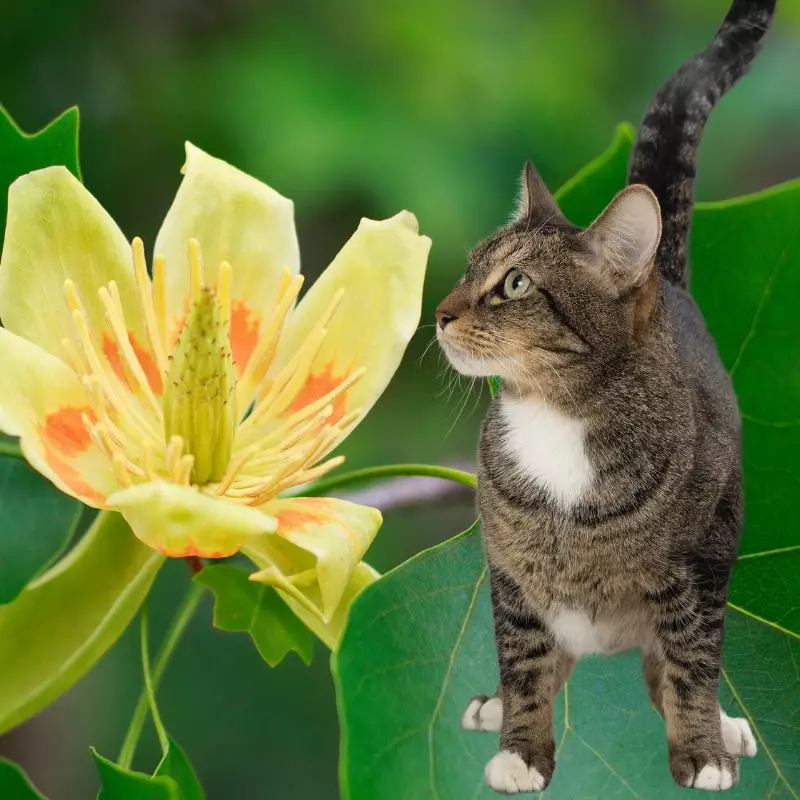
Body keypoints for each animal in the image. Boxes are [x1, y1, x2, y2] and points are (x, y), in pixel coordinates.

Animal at [438, 0, 776, 792]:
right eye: (469, 269)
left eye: (516, 284)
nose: (440, 312)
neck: (557, 419)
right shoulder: (510, 573)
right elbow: (526, 665)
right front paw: (521, 750)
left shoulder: (699, 565)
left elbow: (691, 664)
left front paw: (703, 751)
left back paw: (725, 726)